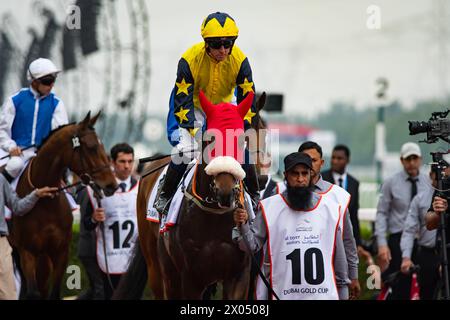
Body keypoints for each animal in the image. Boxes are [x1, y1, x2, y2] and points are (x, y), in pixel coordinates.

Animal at [8, 111, 118, 298]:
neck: (45, 203)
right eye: (91, 147)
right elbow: (32, 292)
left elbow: (53, 293)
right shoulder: (27, 252)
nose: (112, 185)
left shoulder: (60, 252)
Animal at [114, 93, 268, 300]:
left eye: (263, 134)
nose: (225, 190)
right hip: (158, 268)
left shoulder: (238, 276)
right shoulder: (190, 277)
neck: (214, 215)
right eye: (211, 140)